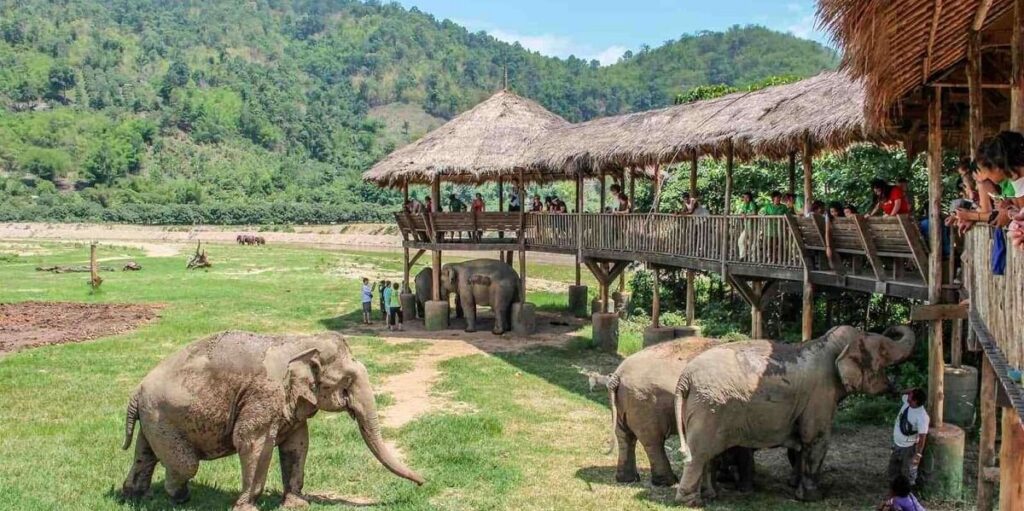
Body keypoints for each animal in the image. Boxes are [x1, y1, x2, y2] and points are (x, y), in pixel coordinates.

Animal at [120, 331, 424, 511]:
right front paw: (247, 508)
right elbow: (252, 442)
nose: (423, 482)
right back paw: (179, 497)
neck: (299, 342)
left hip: (154, 420)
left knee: (145, 455)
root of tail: (136, 391)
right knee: (185, 464)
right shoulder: (264, 396)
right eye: (347, 382)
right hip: (162, 417)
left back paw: (134, 496)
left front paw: (296, 505)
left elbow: (298, 444)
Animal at [601, 337, 754, 490]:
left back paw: (627, 479)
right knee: (653, 441)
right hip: (644, 404)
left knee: (625, 436)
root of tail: (617, 376)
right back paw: (668, 482)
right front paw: (745, 485)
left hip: (624, 404)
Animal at [672, 325, 916, 506]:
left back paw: (710, 495)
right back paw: (691, 502)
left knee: (707, 455)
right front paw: (813, 498)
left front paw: (794, 487)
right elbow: (816, 439)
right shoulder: (820, 394)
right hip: (709, 409)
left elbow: (801, 444)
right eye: (883, 350)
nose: (891, 327)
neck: (826, 344)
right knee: (700, 453)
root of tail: (684, 378)